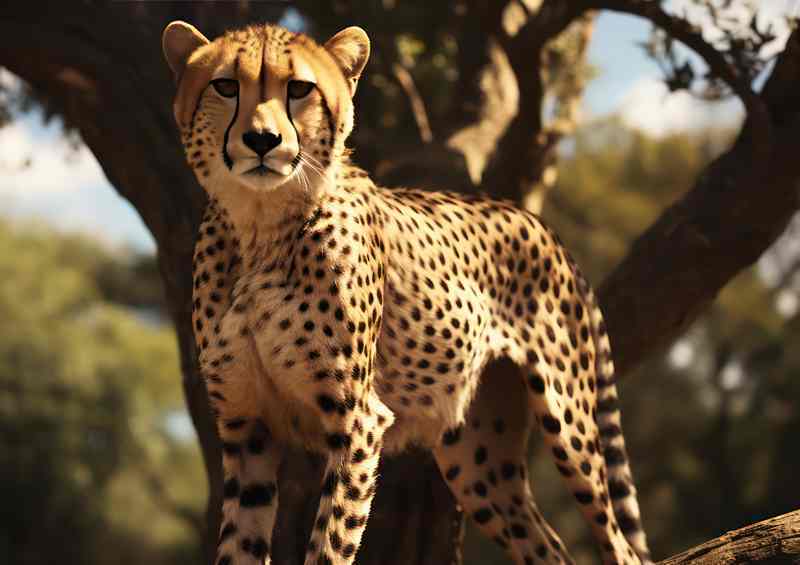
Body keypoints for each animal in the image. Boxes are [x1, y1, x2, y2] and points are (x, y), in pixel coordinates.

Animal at [162, 19, 652, 565]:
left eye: (299, 88)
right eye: (226, 86)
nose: (263, 140)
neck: (259, 227)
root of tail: (540, 223)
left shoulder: (358, 420)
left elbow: (330, 543)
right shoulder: (247, 427)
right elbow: (239, 545)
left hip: (568, 423)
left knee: (619, 543)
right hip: (477, 461)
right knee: (548, 546)